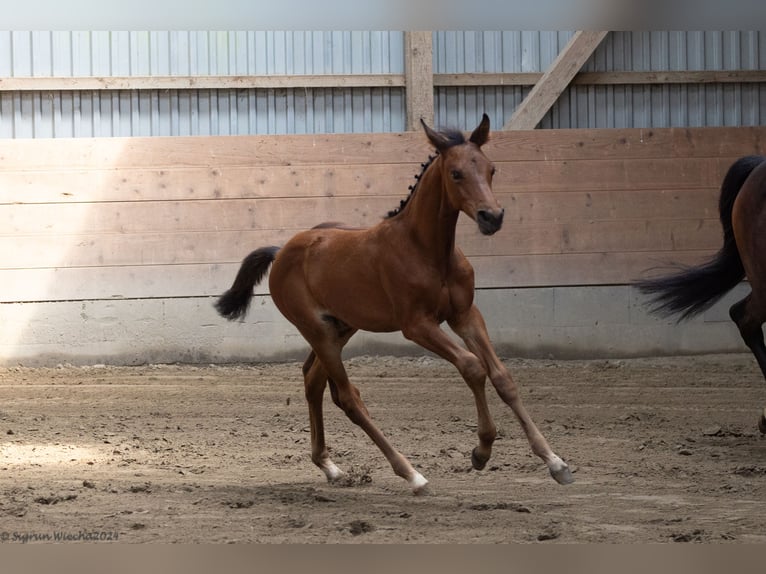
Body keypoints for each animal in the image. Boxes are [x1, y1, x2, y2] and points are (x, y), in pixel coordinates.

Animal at [216, 113, 576, 496]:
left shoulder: (465, 315)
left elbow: (502, 376)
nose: (491, 217)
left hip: (341, 326)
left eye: (492, 169)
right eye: (456, 173)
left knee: (313, 381)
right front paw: (481, 450)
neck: (429, 251)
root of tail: (281, 250)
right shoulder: (417, 325)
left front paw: (555, 461)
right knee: (348, 398)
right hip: (317, 330)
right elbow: (472, 367)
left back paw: (331, 468)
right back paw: (411, 474)